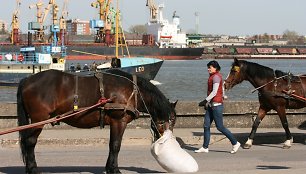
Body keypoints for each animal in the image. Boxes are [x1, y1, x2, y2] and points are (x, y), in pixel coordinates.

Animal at [16, 68, 177, 173]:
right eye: (172, 119)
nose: (169, 139)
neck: (133, 91)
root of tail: (27, 80)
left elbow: (112, 145)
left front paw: (109, 167)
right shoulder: (119, 121)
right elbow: (116, 145)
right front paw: (114, 169)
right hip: (39, 119)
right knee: (30, 142)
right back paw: (33, 169)